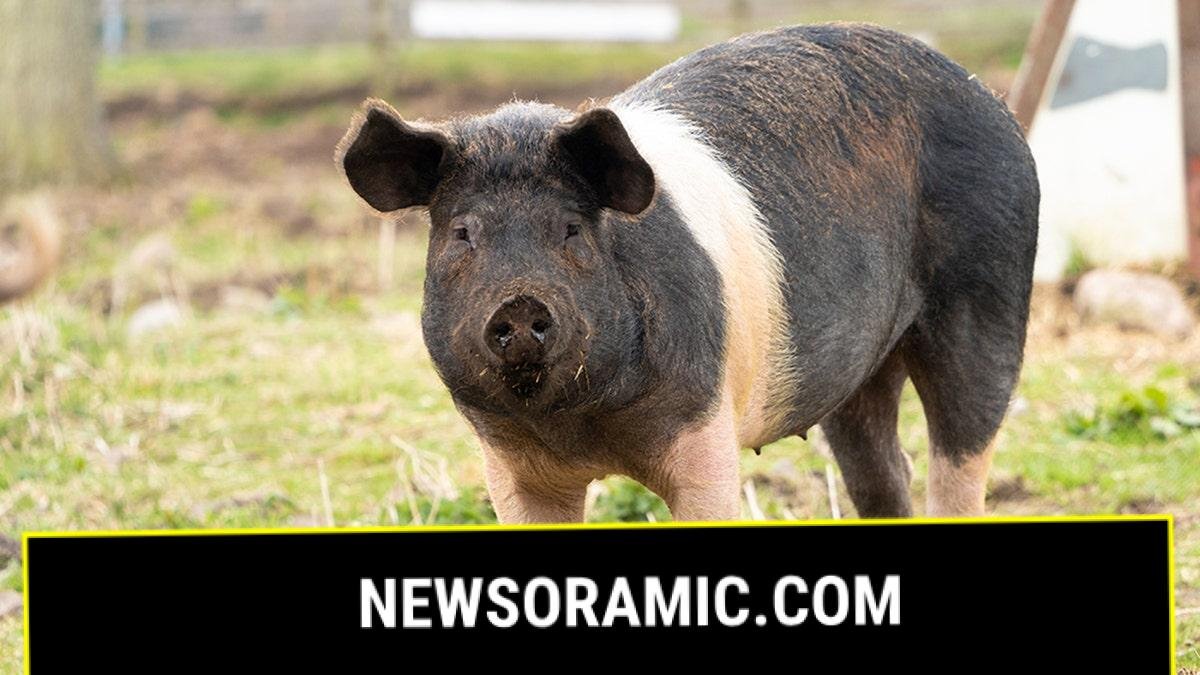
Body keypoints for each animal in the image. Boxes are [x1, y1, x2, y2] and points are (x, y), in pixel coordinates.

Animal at [335, 23, 1039, 523]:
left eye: (571, 229)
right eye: (462, 234)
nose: (520, 303)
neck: (583, 426)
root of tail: (992, 100)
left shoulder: (705, 426)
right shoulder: (510, 462)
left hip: (989, 295)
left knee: (962, 450)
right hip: (858, 370)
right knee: (883, 473)